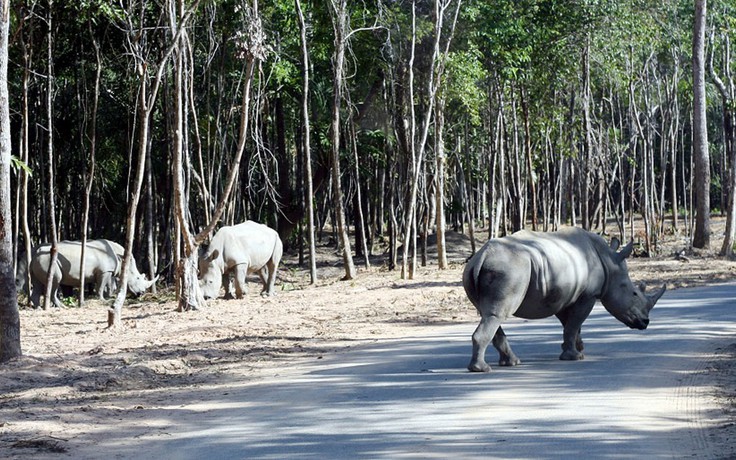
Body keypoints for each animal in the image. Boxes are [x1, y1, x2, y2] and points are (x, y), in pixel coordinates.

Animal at [25, 239, 157, 308]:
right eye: (138, 278)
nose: (141, 293)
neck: (122, 259)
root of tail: (35, 252)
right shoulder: (104, 271)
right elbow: (101, 286)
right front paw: (102, 300)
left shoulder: (108, 271)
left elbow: (108, 285)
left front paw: (108, 297)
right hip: (47, 260)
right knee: (55, 281)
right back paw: (62, 306)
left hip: (39, 260)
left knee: (38, 284)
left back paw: (37, 308)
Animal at [462, 227, 664, 374]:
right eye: (634, 294)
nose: (645, 323)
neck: (608, 261)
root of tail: (482, 256)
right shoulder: (588, 295)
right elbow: (573, 324)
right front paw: (575, 356)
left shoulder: (561, 296)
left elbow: (570, 324)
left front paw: (578, 348)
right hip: (509, 269)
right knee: (497, 314)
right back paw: (482, 369)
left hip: (478, 271)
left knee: (489, 314)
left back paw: (511, 362)